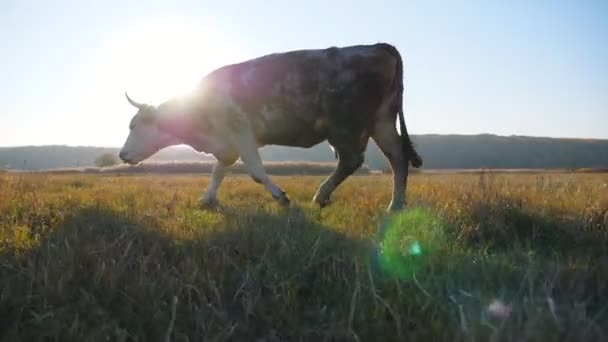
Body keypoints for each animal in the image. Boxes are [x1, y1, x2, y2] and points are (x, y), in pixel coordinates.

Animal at [119, 42, 422, 211]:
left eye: (133, 125)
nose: (121, 154)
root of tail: (377, 47)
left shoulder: (241, 133)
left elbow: (255, 171)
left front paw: (281, 196)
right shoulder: (227, 145)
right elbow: (218, 172)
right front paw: (207, 200)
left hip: (346, 126)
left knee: (352, 161)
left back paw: (321, 195)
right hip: (382, 121)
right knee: (397, 157)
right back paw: (395, 205)